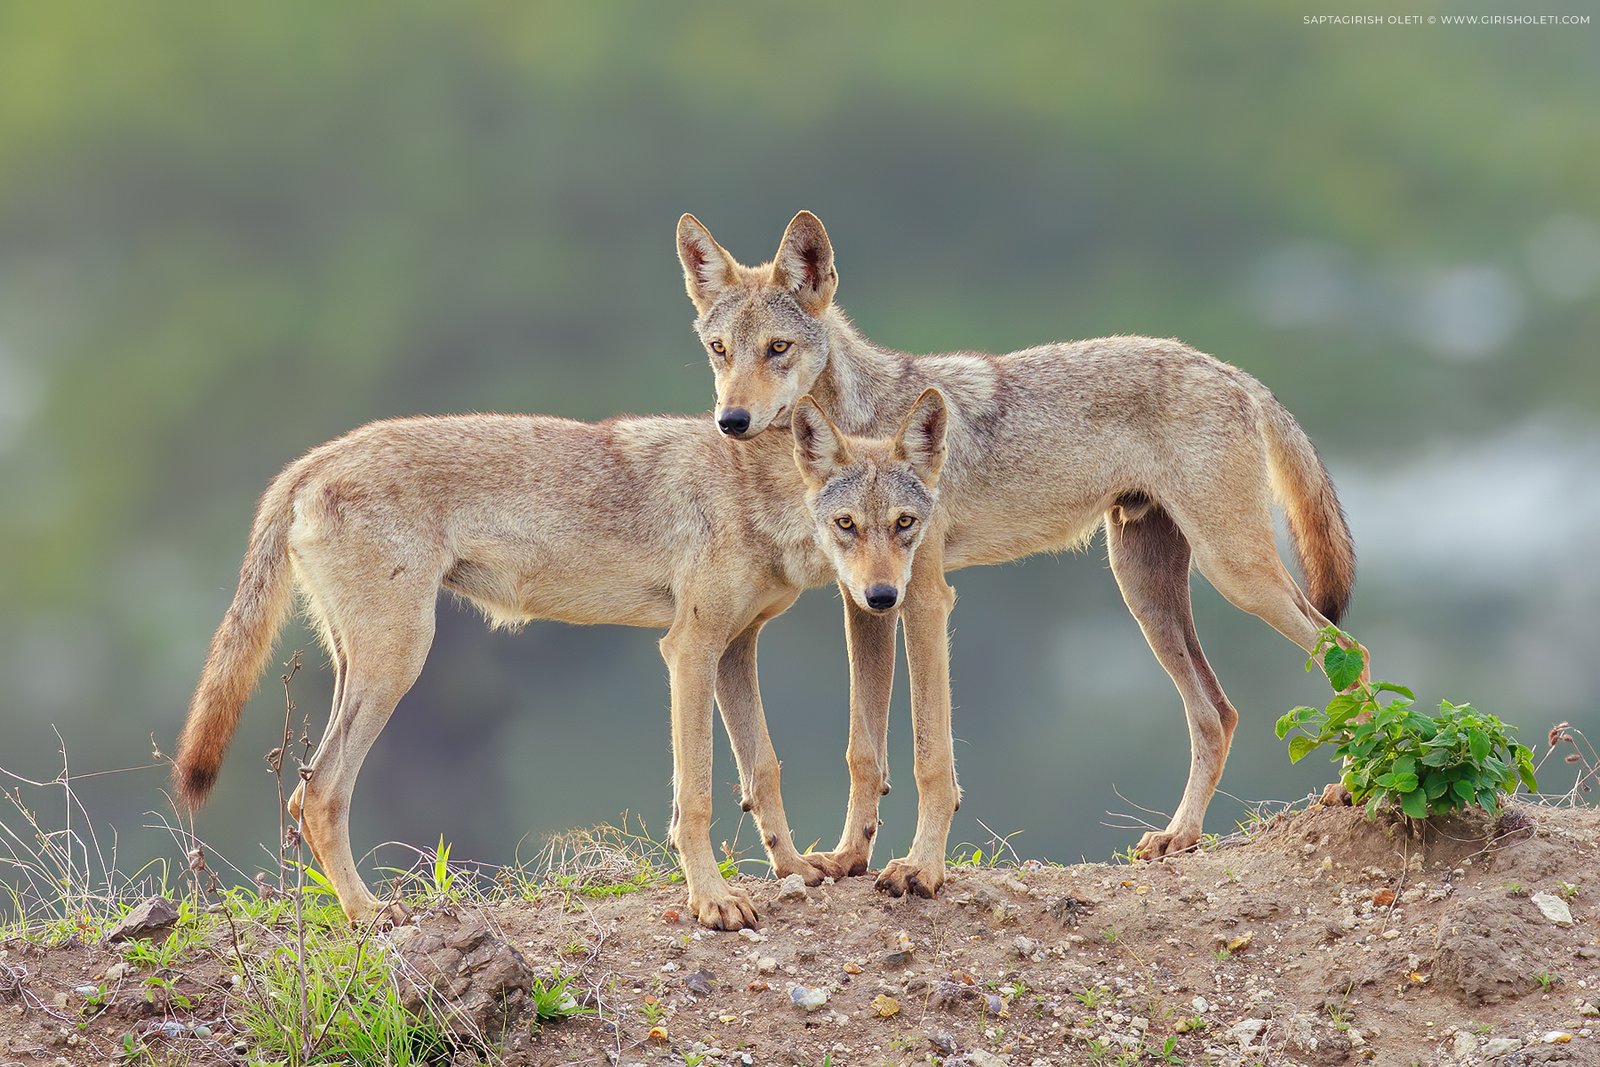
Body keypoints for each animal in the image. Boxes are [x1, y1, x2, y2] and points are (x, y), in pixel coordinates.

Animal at [173, 393, 947, 930]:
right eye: (847, 525)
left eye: (904, 525)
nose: (882, 597)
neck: (755, 496)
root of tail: (310, 461)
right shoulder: (689, 649)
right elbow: (695, 796)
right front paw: (713, 903)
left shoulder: (735, 648)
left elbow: (763, 771)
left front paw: (793, 870)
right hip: (398, 662)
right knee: (319, 791)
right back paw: (369, 914)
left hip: (365, 662)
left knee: (306, 792)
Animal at [677, 210, 1363, 898]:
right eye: (719, 350)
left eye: (778, 348)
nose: (731, 420)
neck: (864, 423)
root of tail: (1232, 371)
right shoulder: (866, 604)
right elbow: (864, 751)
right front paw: (848, 857)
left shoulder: (923, 599)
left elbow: (931, 758)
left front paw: (921, 869)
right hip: (1145, 597)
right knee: (1217, 714)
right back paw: (1180, 835)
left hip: (1235, 575)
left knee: (1344, 648)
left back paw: (1352, 788)